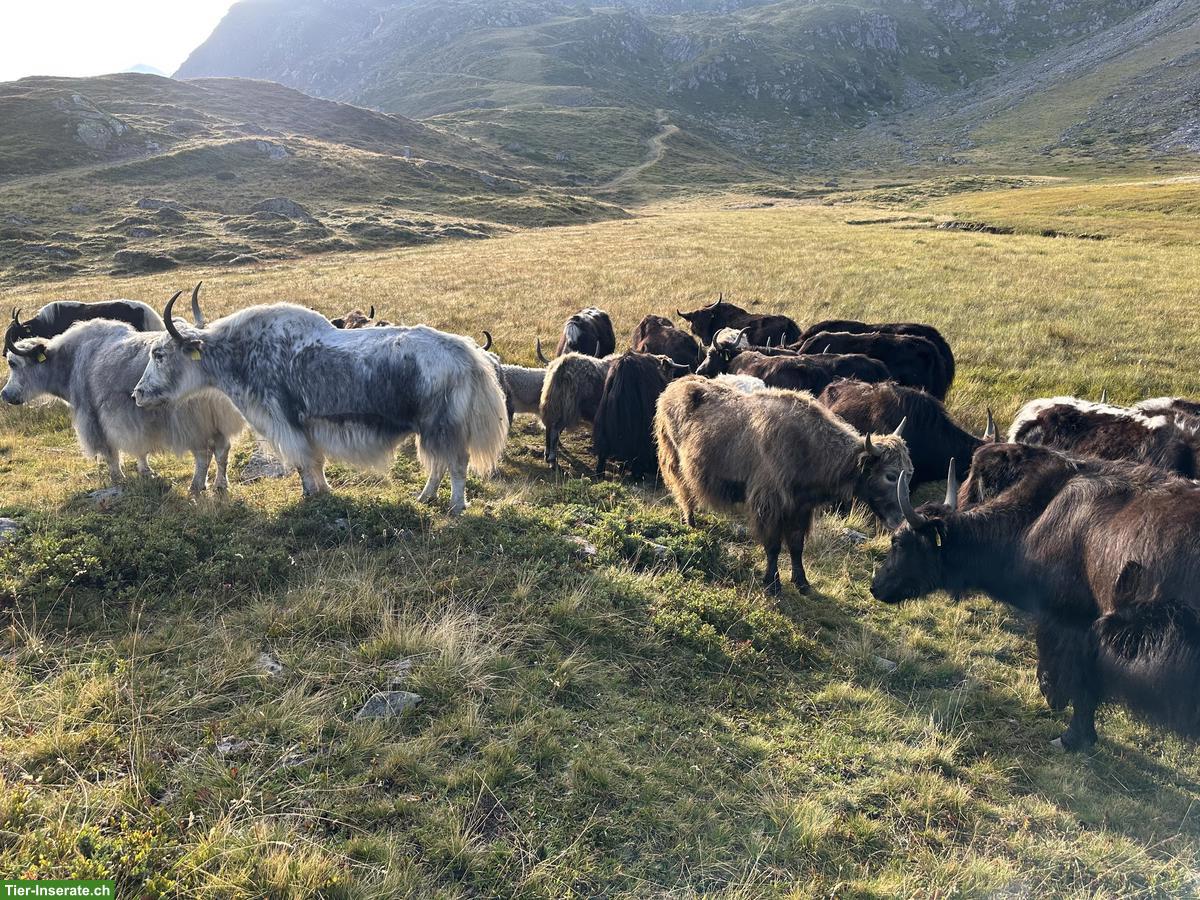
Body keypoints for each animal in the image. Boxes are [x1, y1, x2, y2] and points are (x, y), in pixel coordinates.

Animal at [3, 305, 244, 494]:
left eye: (13, 363)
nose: (4, 394)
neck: (71, 360)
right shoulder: (136, 421)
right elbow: (140, 448)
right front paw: (146, 472)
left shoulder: (94, 417)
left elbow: (111, 452)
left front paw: (118, 477)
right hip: (218, 421)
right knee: (223, 450)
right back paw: (220, 485)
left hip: (193, 423)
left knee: (203, 454)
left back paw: (195, 486)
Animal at [131, 294, 507, 514]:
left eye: (159, 353)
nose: (138, 394)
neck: (241, 353)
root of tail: (469, 354)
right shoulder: (307, 426)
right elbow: (316, 461)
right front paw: (323, 490)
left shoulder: (284, 423)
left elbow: (302, 462)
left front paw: (310, 494)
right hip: (430, 428)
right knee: (439, 464)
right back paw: (424, 498)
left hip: (443, 424)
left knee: (456, 463)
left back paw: (455, 507)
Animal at [655, 376, 912, 594]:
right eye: (890, 475)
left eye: (909, 474)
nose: (900, 520)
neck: (808, 448)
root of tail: (674, 386)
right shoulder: (769, 505)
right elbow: (773, 546)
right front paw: (772, 583)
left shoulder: (801, 508)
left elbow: (796, 546)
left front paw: (802, 583)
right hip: (674, 460)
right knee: (683, 492)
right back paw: (689, 522)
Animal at [872, 442, 1200, 749]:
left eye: (898, 541)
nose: (876, 586)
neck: (1039, 519)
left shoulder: (1073, 624)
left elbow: (1080, 684)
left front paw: (1072, 738)